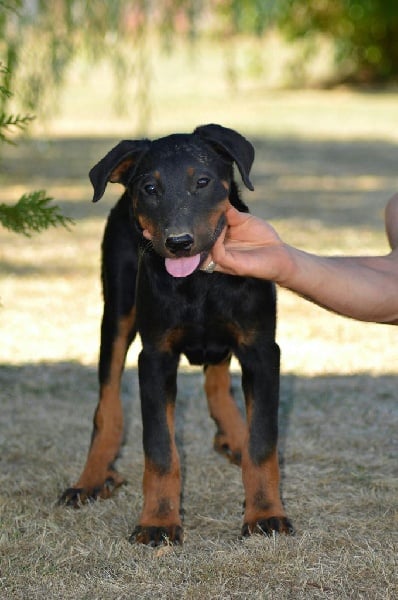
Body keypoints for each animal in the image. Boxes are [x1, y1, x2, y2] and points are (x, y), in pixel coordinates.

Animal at [60, 124, 294, 548]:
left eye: (202, 181)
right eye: (150, 188)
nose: (178, 242)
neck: (198, 282)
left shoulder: (261, 349)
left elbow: (262, 443)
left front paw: (266, 514)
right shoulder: (155, 356)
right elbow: (160, 450)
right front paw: (158, 521)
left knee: (217, 380)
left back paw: (235, 435)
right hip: (116, 312)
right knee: (107, 406)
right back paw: (91, 478)